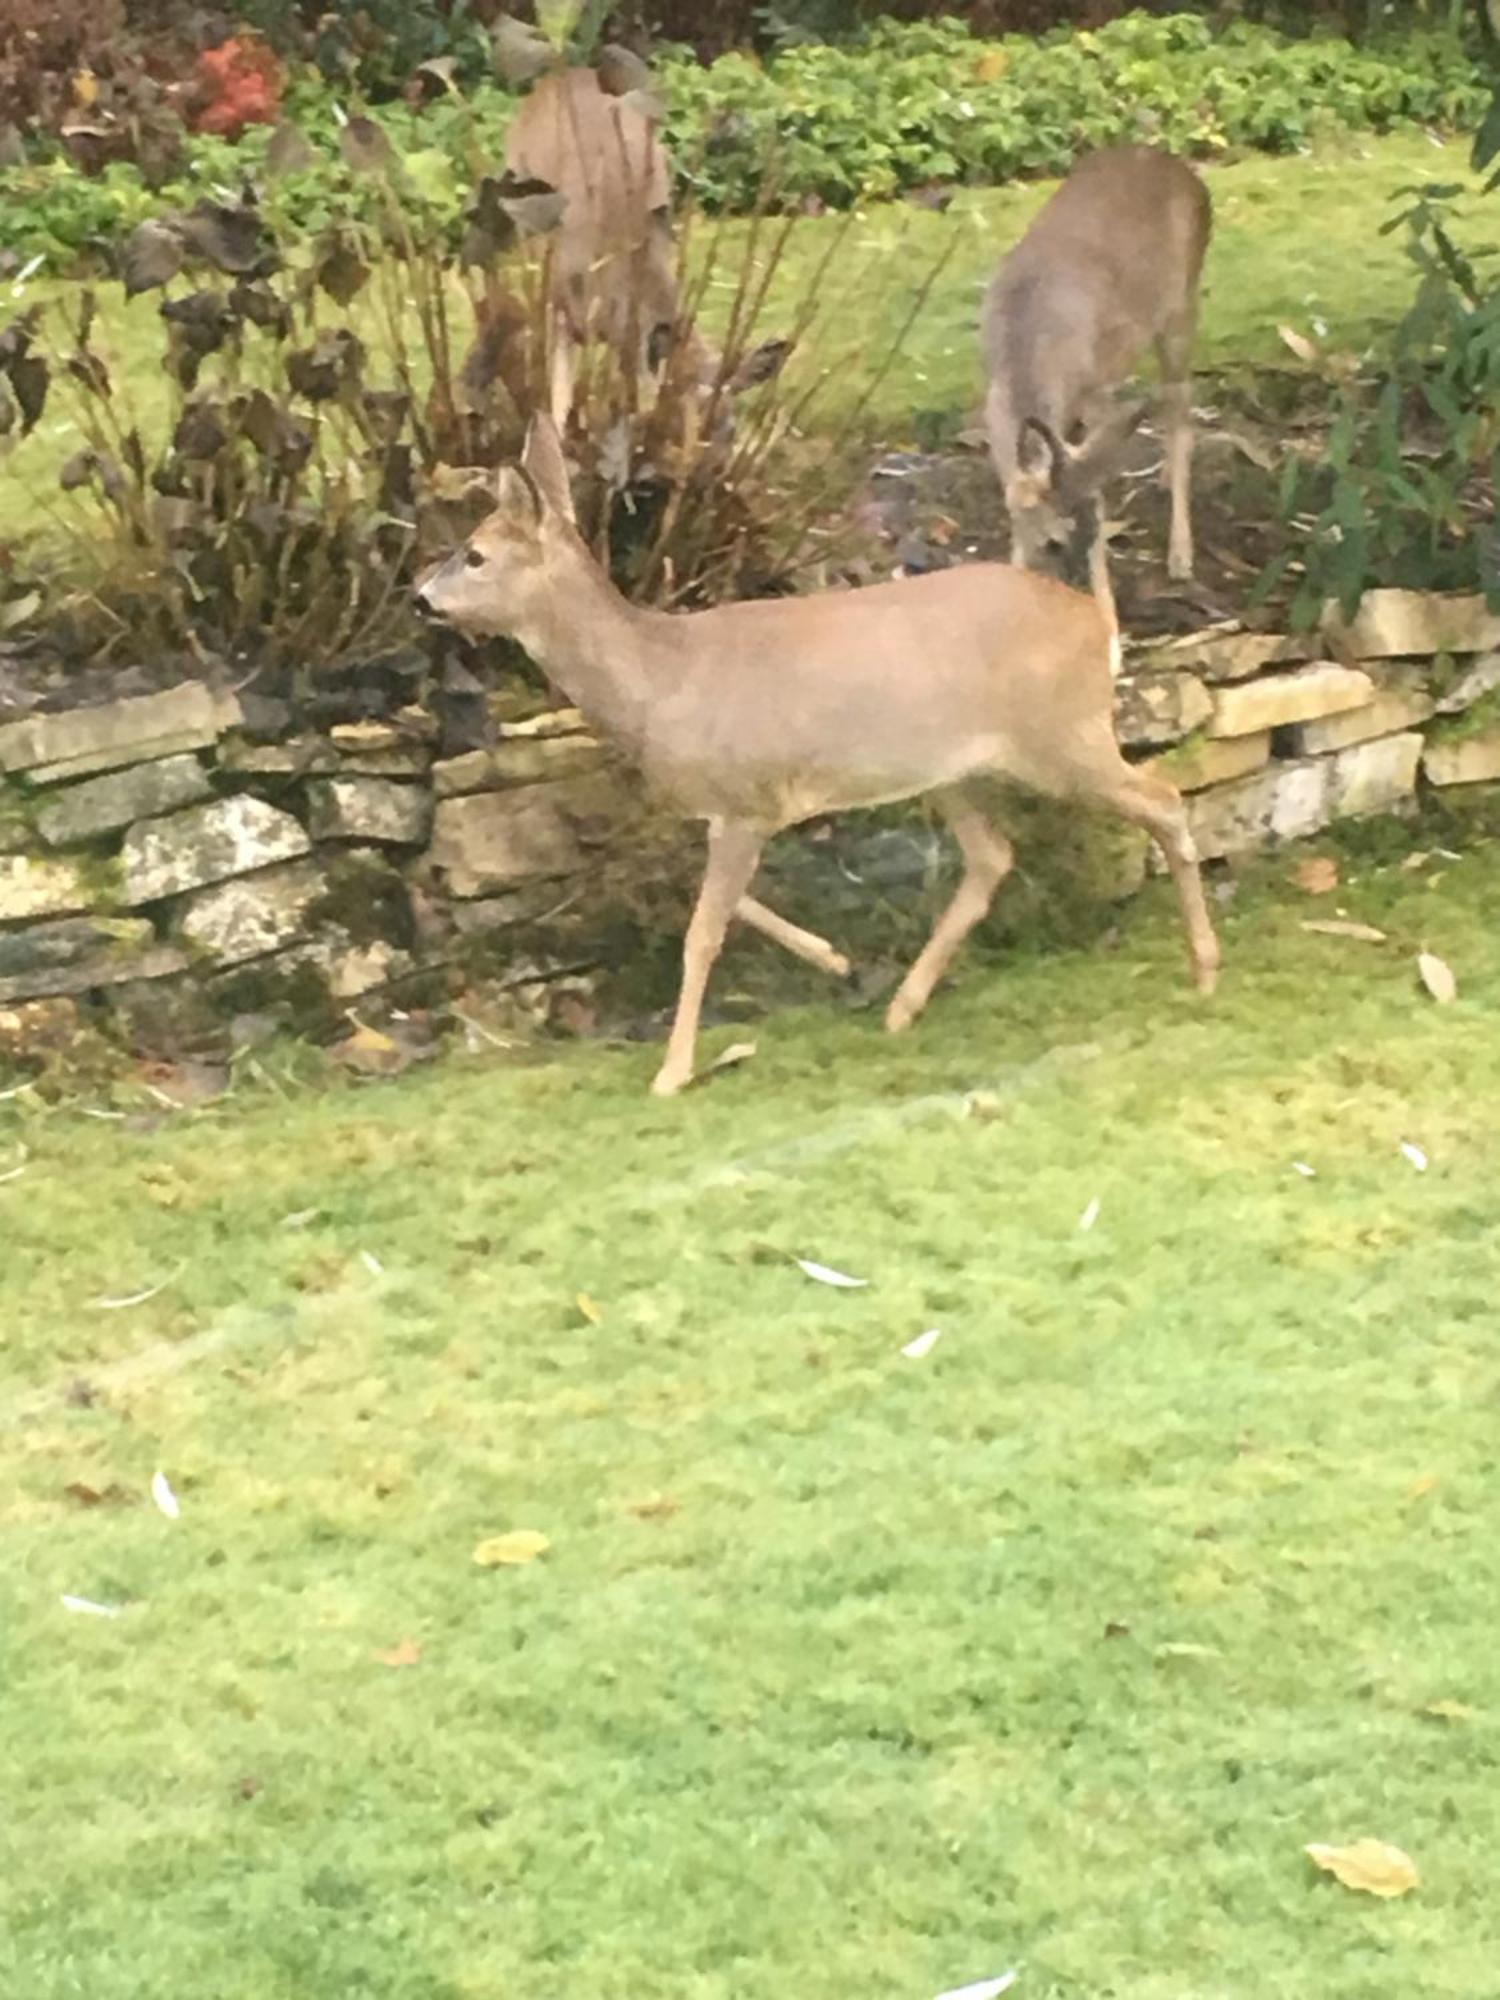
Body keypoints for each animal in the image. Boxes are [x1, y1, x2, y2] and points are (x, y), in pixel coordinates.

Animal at [414, 418, 1224, 1096]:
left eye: (475, 554)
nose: (421, 598)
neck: (659, 680)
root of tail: (1099, 622)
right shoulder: (736, 807)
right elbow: (724, 904)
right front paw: (834, 957)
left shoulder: (745, 800)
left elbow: (702, 932)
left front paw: (673, 1072)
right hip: (953, 766)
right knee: (993, 856)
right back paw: (902, 1006)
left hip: (1060, 736)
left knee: (1163, 801)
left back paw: (1204, 967)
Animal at [988, 146, 1208, 632]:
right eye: (1052, 542)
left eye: (1096, 533)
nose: (1069, 597)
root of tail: (1186, 172)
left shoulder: (1095, 396)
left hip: (1181, 307)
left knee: (1183, 415)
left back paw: (1181, 555)